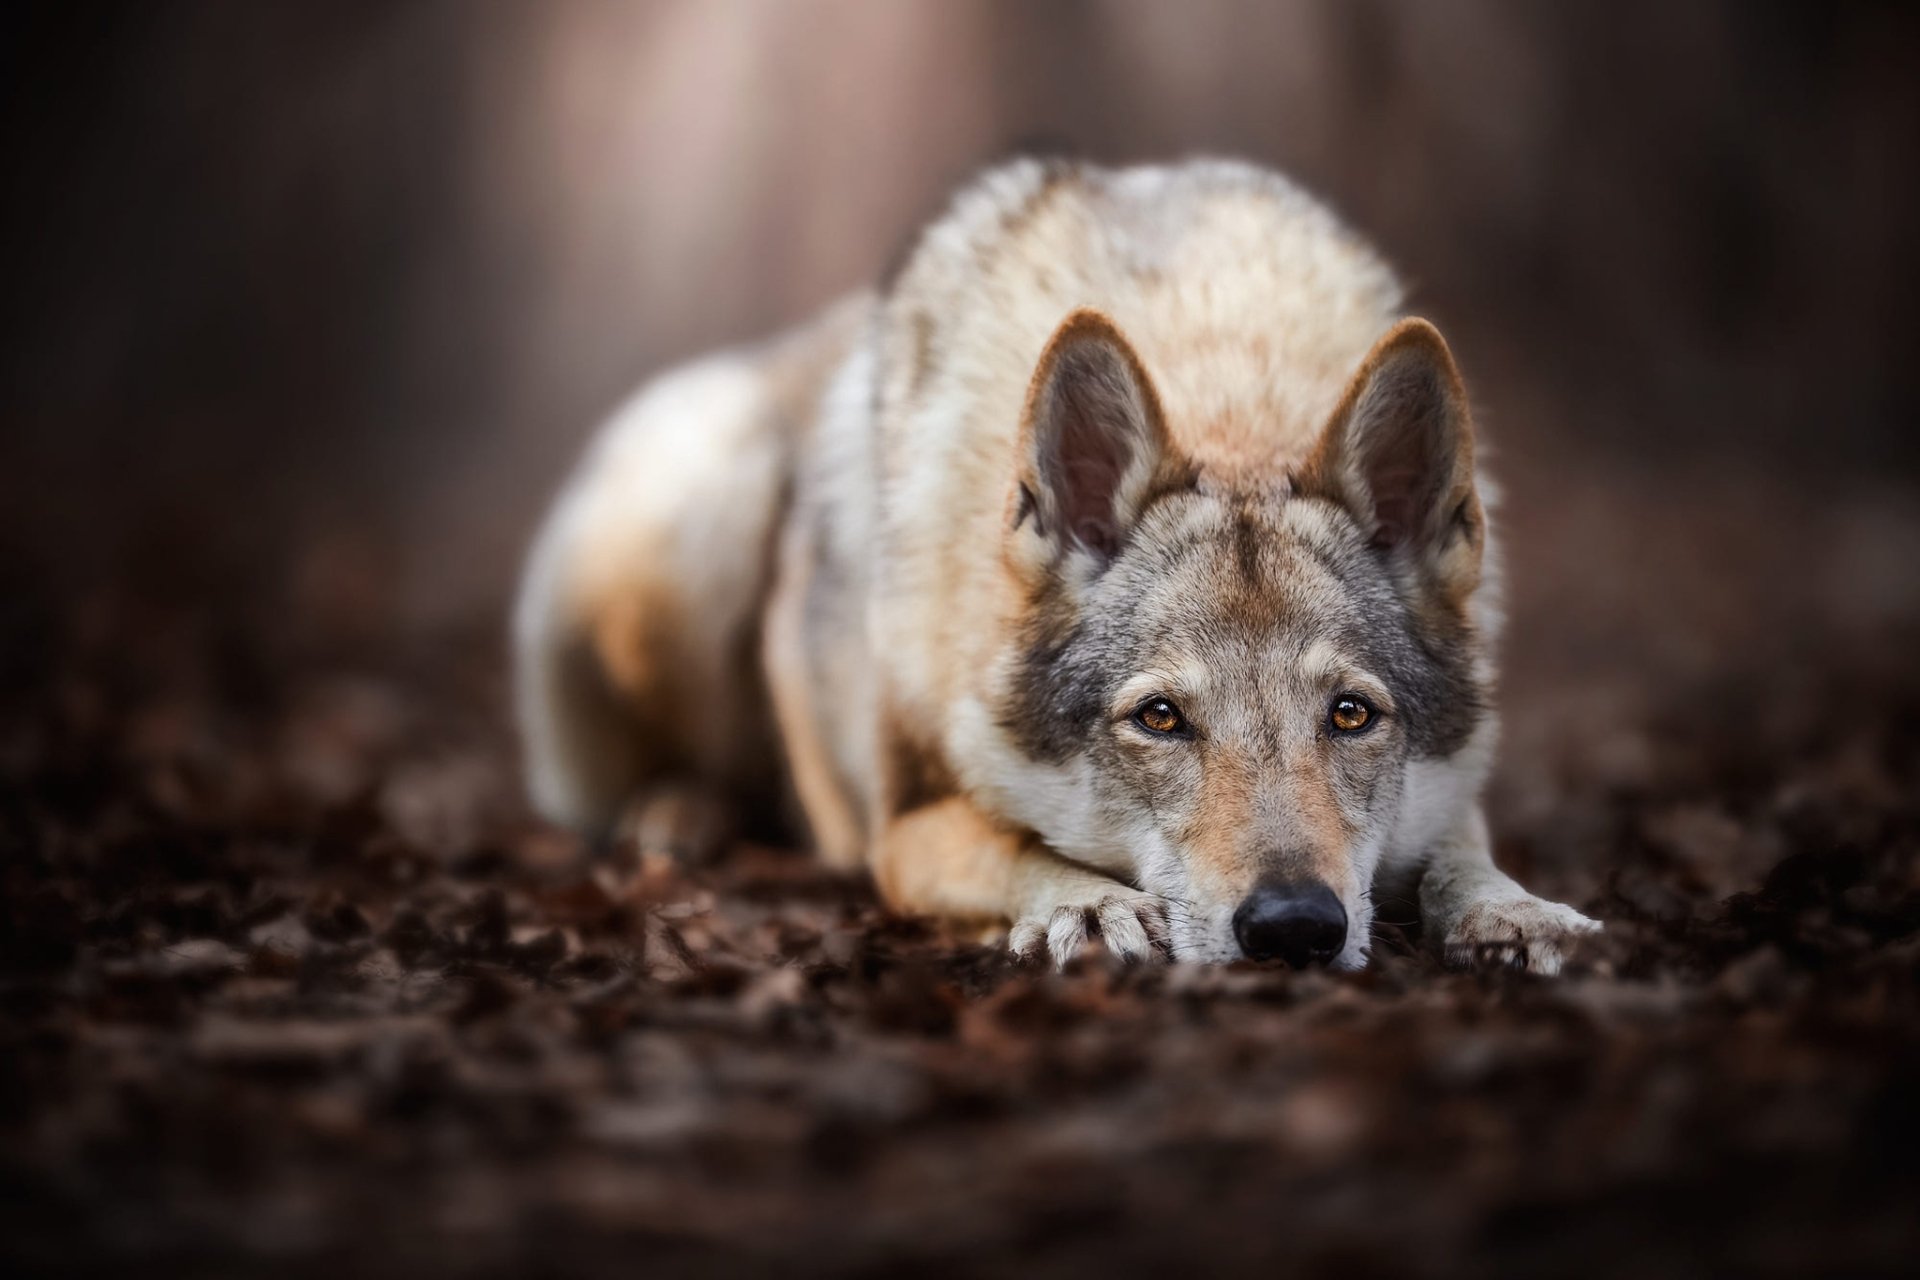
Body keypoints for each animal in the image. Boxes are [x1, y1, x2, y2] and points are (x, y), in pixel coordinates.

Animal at [514, 157, 1601, 972]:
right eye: (1159, 718)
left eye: (1350, 716)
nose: (1295, 927)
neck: (1224, 394)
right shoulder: (904, 827)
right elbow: (1011, 846)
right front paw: (1087, 905)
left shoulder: (1445, 788)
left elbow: (1460, 844)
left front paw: (1513, 909)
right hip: (699, 504)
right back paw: (679, 815)